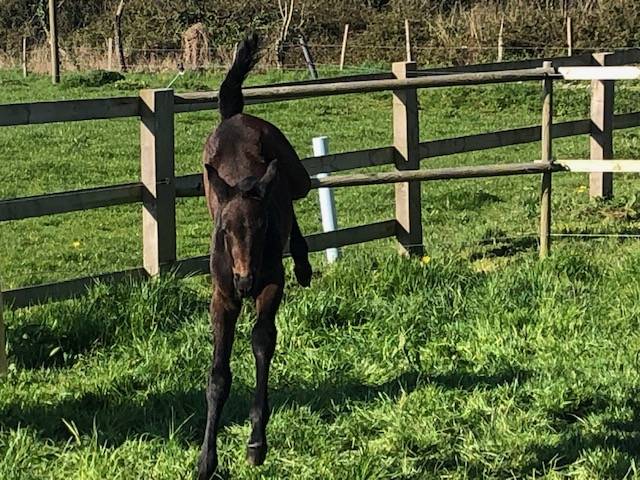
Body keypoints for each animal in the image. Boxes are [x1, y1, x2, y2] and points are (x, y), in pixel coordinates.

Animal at [198, 34, 313, 479]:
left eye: (261, 229)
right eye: (224, 231)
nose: (245, 281)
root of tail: (236, 115)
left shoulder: (270, 285)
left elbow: (263, 340)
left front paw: (256, 443)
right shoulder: (222, 297)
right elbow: (218, 375)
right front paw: (206, 460)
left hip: (296, 174)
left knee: (299, 195)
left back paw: (305, 264)